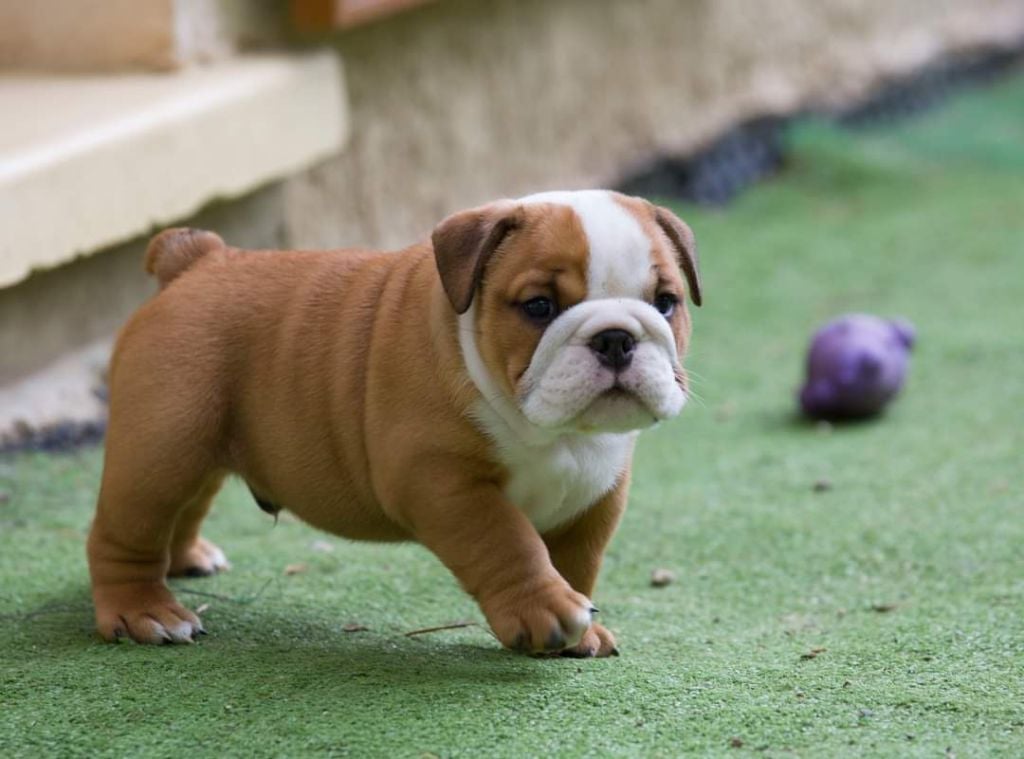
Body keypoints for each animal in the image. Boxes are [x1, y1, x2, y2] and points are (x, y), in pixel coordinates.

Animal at [87, 189, 702, 657]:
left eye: (666, 302)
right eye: (539, 307)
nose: (616, 337)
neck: (556, 435)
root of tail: (196, 260)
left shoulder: (594, 497)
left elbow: (577, 562)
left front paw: (583, 628)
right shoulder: (443, 481)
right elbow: (509, 543)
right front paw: (546, 611)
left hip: (201, 440)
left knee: (188, 503)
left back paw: (188, 559)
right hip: (162, 446)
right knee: (127, 530)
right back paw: (145, 611)